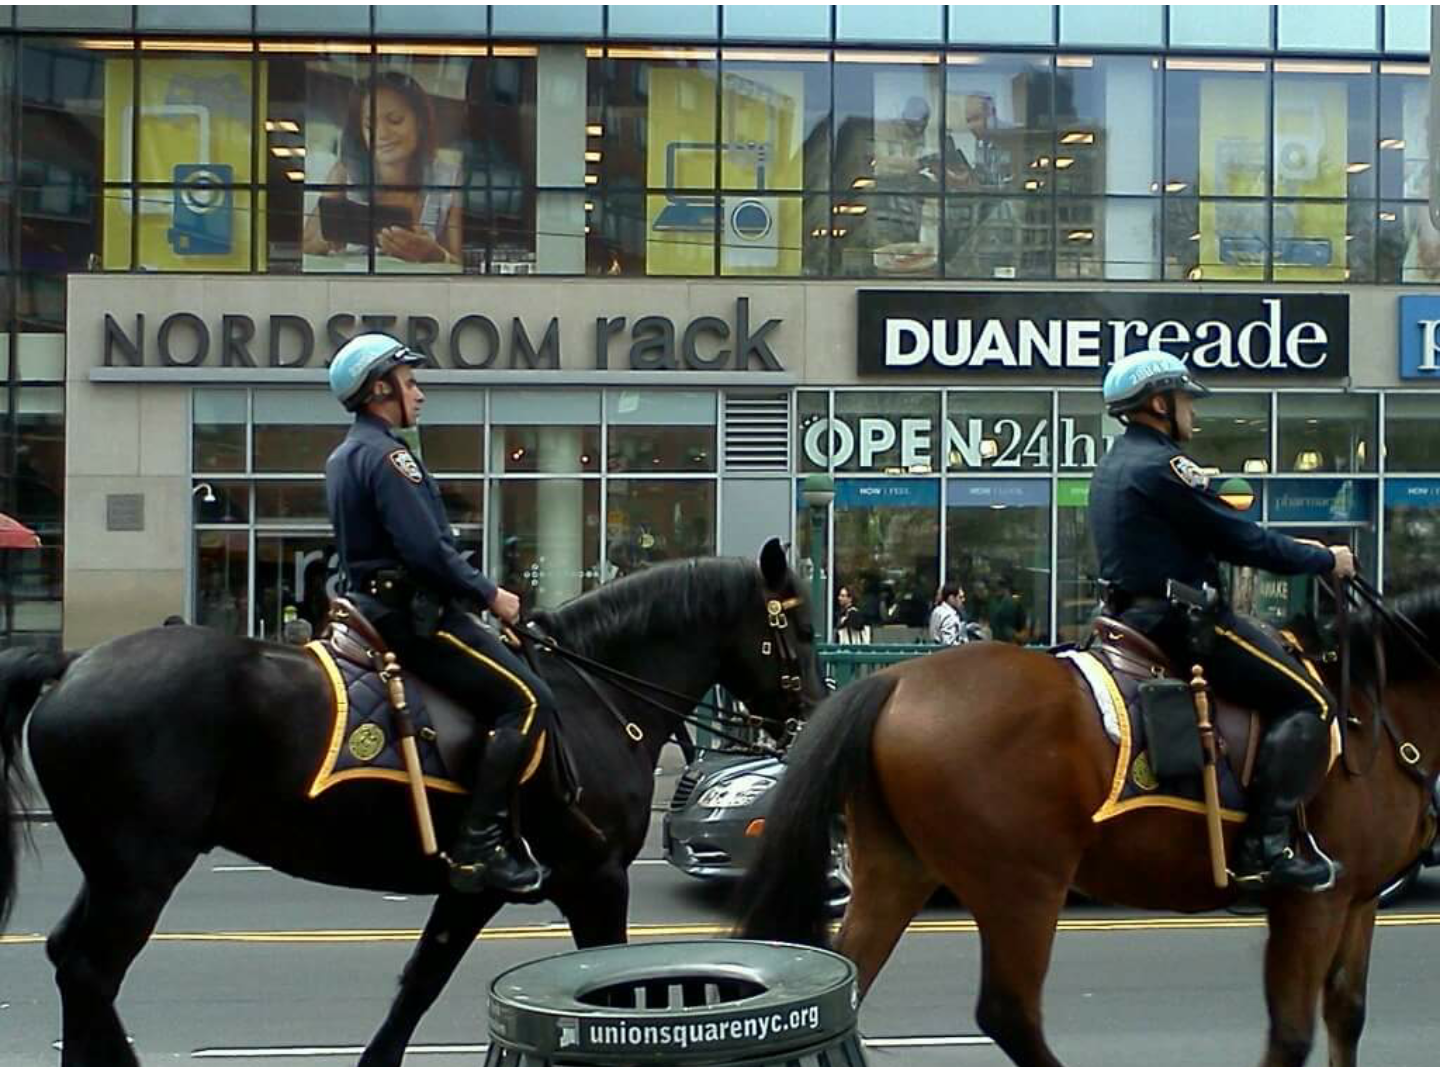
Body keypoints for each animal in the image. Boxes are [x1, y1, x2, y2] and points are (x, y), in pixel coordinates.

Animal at [0, 541, 823, 1065]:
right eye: (804, 628)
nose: (815, 713)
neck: (597, 694)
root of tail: (73, 664)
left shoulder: (471, 887)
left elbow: (417, 987)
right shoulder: (595, 879)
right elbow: (611, 988)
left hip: (114, 871)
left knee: (70, 961)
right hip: (141, 872)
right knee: (88, 971)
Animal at [731, 590, 1440, 1065]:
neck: (1375, 716)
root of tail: (897, 679)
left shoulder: (1358, 899)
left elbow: (1346, 1013)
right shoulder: (1312, 903)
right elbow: (1292, 1033)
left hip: (897, 868)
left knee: (848, 980)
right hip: (1023, 885)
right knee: (1009, 1012)